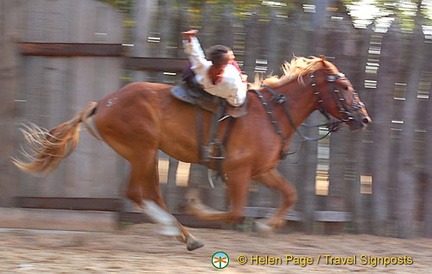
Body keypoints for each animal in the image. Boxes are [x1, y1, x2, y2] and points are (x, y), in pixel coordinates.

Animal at [13, 55, 372, 250]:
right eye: (342, 86)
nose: (364, 118)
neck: (270, 113)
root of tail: (101, 104)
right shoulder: (238, 173)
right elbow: (234, 212)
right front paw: (197, 207)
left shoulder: (261, 171)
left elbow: (290, 194)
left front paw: (268, 225)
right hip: (143, 151)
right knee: (138, 193)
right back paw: (181, 231)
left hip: (145, 155)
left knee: (149, 194)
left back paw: (182, 234)